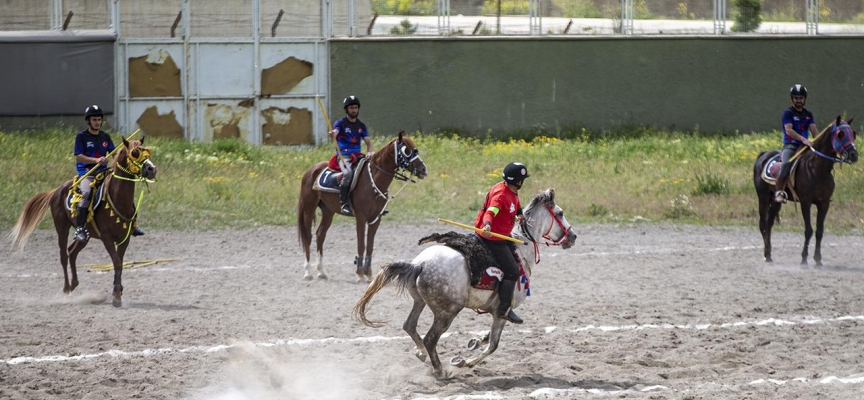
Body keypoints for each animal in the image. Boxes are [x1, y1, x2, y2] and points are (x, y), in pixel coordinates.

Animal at [8, 138, 157, 306]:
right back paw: (66, 289)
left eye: (147, 150)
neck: (117, 199)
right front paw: (117, 296)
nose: (152, 169)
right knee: (64, 255)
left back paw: (74, 284)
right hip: (62, 228)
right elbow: (117, 262)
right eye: (135, 152)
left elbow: (119, 262)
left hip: (86, 235)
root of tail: (56, 190)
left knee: (72, 252)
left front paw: (117, 291)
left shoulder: (124, 239)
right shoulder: (107, 237)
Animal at [298, 131, 426, 282]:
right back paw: (307, 272)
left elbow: (369, 246)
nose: (423, 169)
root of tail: (310, 171)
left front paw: (368, 273)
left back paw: (322, 272)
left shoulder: (376, 219)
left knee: (320, 235)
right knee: (308, 237)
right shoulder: (361, 217)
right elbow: (361, 244)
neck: (373, 180)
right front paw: (359, 273)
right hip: (308, 209)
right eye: (407, 150)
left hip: (328, 211)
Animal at [752, 115, 852, 266]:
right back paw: (767, 255)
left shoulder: (824, 204)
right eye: (841, 134)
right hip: (763, 197)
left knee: (769, 223)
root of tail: (763, 155)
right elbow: (808, 230)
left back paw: (769, 255)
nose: (854, 154)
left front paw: (818, 260)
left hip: (775, 201)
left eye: (853, 133)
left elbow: (819, 231)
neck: (817, 170)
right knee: (763, 224)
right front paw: (804, 259)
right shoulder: (806, 202)